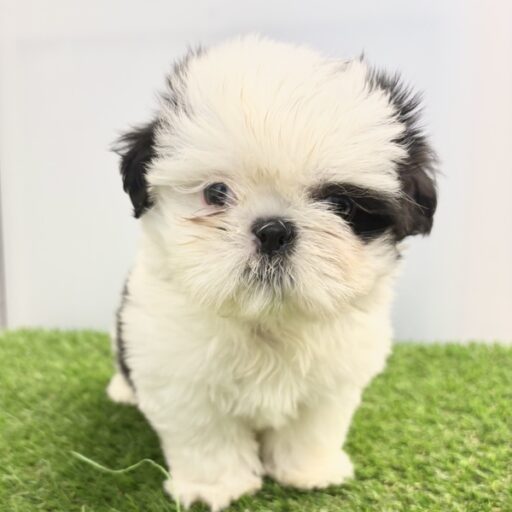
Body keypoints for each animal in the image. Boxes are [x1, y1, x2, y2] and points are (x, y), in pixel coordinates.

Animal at [107, 35, 437, 511]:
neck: (267, 320)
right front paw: (215, 486)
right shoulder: (182, 379)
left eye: (341, 205)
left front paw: (310, 472)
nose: (273, 229)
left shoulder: (331, 384)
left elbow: (311, 429)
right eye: (216, 193)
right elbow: (208, 439)